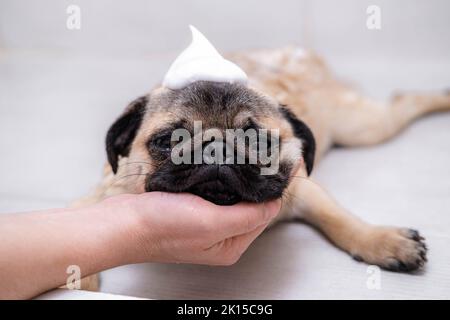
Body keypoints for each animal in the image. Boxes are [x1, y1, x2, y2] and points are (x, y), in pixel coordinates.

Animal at [72, 28, 448, 292]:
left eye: (261, 141)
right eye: (167, 141)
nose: (217, 147)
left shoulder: (303, 187)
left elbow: (339, 219)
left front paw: (383, 241)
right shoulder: (105, 192)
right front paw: (81, 279)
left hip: (364, 127)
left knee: (404, 100)